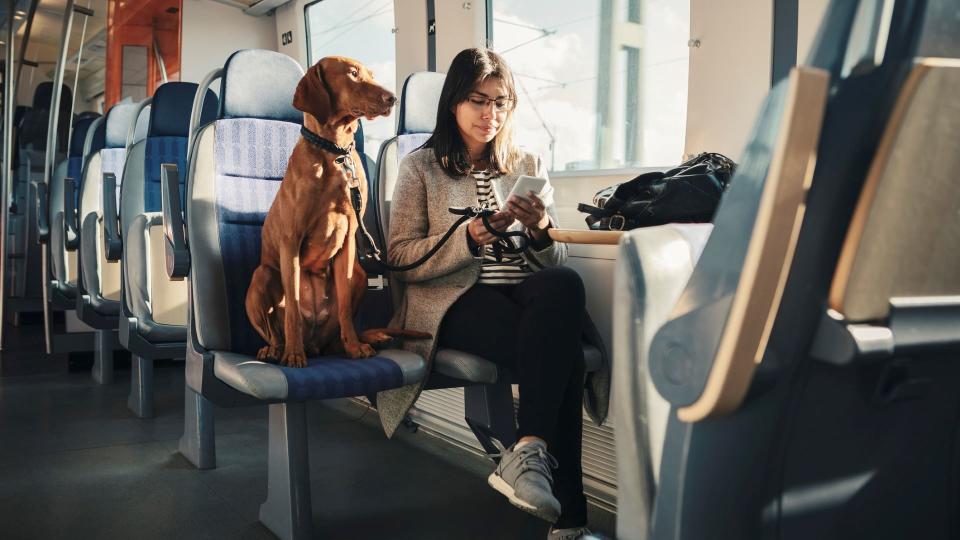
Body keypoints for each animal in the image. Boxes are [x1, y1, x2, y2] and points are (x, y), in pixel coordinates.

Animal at [248, 56, 428, 368]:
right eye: (353, 74)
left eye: (371, 74)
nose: (392, 98)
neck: (335, 153)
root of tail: (315, 344)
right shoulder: (291, 241)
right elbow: (293, 308)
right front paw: (293, 354)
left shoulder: (349, 239)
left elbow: (344, 307)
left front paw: (355, 347)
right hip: (262, 275)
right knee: (274, 329)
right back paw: (277, 349)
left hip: (358, 274)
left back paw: (341, 345)